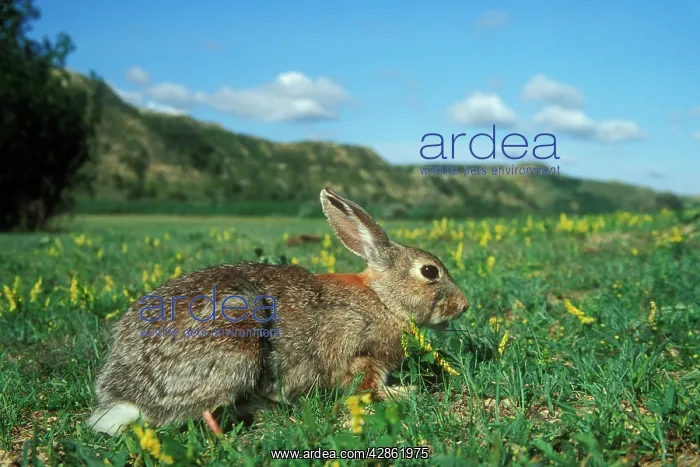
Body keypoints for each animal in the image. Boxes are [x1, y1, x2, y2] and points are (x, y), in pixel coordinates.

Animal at [87, 187, 469, 436]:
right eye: (430, 272)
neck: (384, 300)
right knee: (205, 411)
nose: (463, 305)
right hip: (235, 341)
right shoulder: (356, 352)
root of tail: (127, 397)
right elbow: (365, 384)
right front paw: (403, 393)